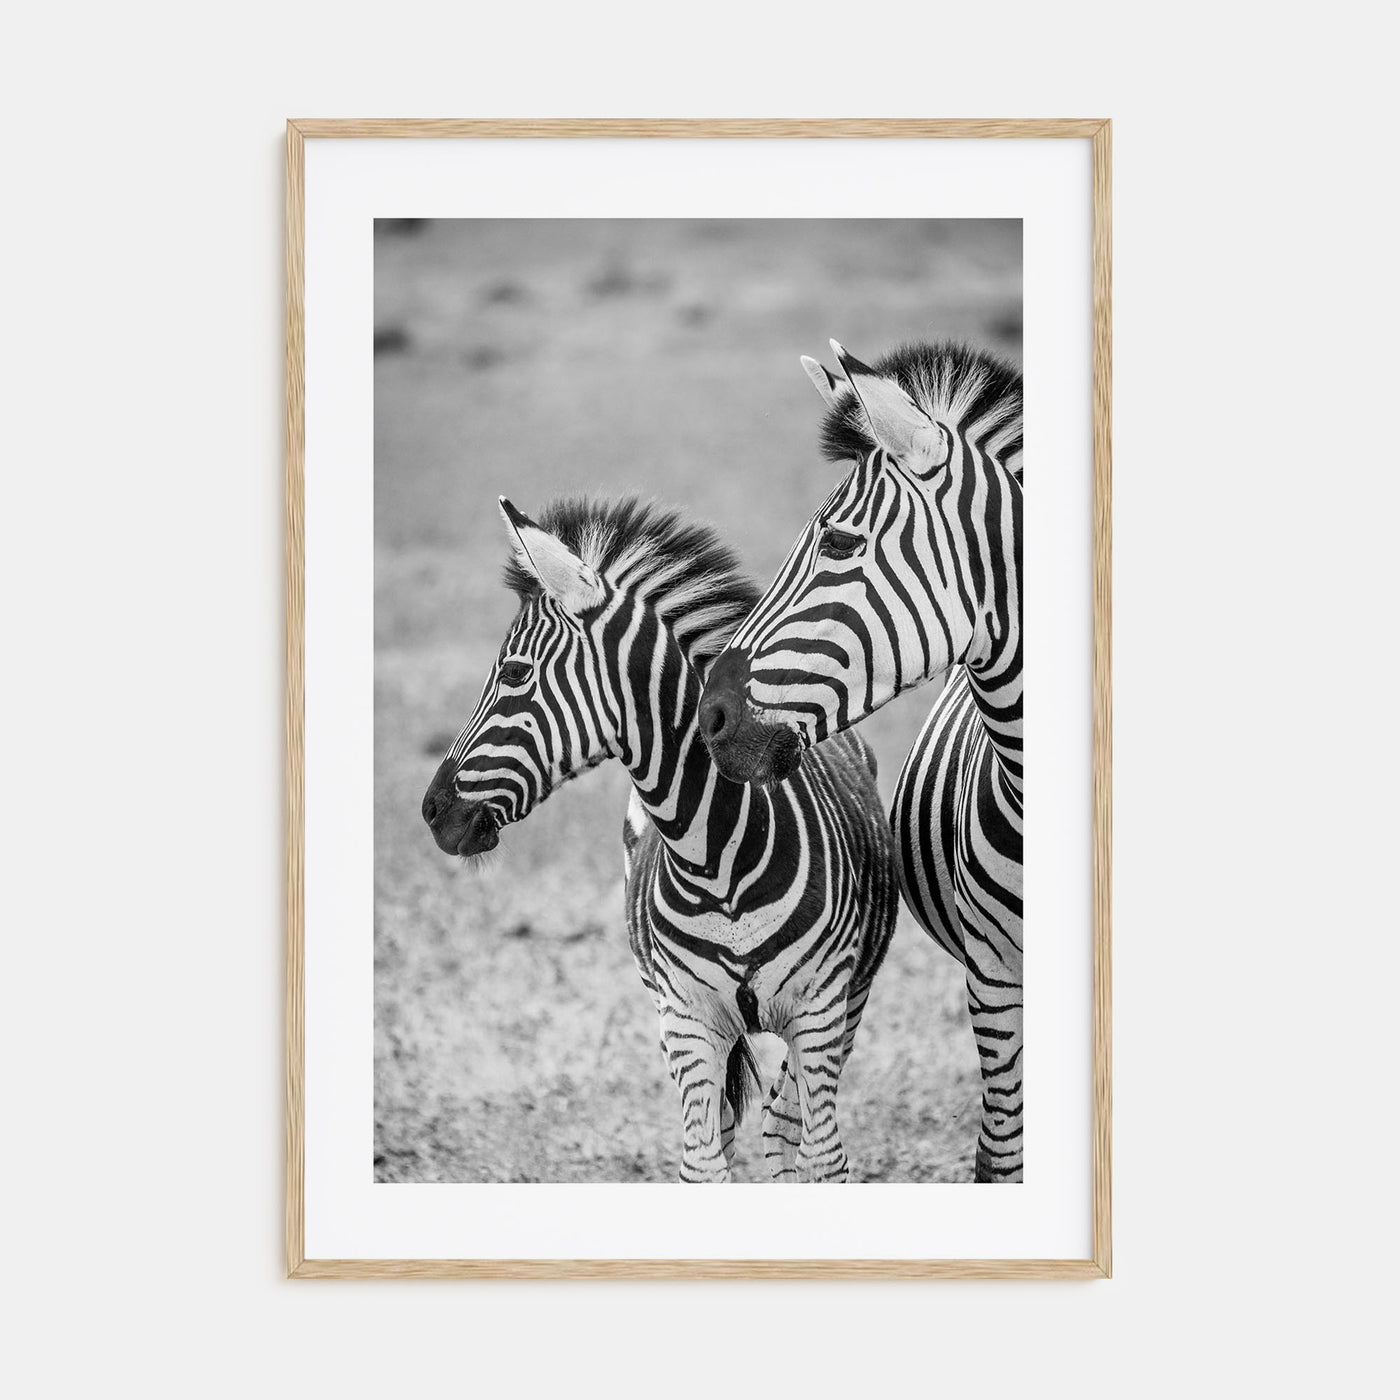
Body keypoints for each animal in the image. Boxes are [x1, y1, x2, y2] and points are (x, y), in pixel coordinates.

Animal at [420, 495, 899, 1183]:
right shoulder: (687, 1021)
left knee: (785, 1125)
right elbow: (702, 1164)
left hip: (846, 1005)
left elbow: (824, 1157)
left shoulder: (821, 1013)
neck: (718, 859)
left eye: (513, 673)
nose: (432, 811)